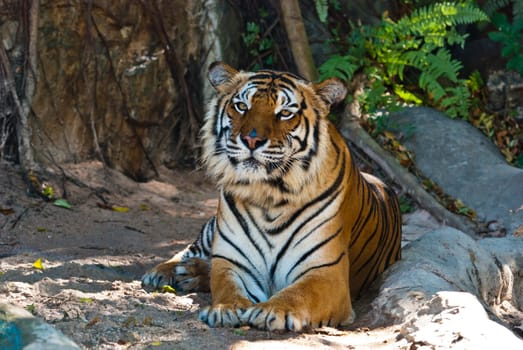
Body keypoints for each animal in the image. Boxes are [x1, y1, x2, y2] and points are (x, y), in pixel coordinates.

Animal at [141, 61, 404, 332]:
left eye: (285, 113)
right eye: (242, 107)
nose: (251, 140)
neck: (269, 195)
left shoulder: (326, 272)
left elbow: (300, 293)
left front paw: (274, 310)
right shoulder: (233, 261)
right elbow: (225, 285)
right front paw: (226, 309)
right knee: (190, 250)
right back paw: (168, 271)